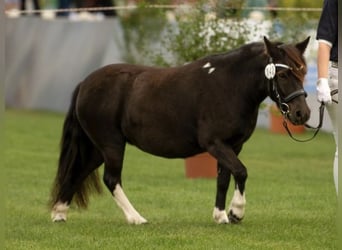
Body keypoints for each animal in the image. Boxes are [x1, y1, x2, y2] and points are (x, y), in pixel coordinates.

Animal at [50, 37, 310, 225]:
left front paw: (221, 216)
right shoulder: (214, 143)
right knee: (111, 179)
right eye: (283, 74)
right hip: (111, 144)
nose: (302, 114)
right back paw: (136, 218)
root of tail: (85, 82)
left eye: (303, 72)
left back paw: (59, 213)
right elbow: (241, 171)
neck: (230, 86)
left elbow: (224, 178)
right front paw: (236, 212)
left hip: (98, 148)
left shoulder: (233, 146)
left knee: (78, 172)